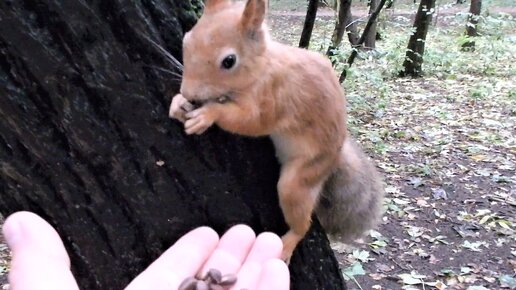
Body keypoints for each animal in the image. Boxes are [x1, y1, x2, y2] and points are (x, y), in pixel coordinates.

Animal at [168, 0, 382, 262]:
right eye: (186, 40)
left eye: (229, 61)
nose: (189, 93)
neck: (262, 68)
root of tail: (337, 153)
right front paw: (178, 103)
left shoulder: (275, 99)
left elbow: (252, 122)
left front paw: (207, 114)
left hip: (304, 175)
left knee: (301, 217)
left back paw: (288, 243)